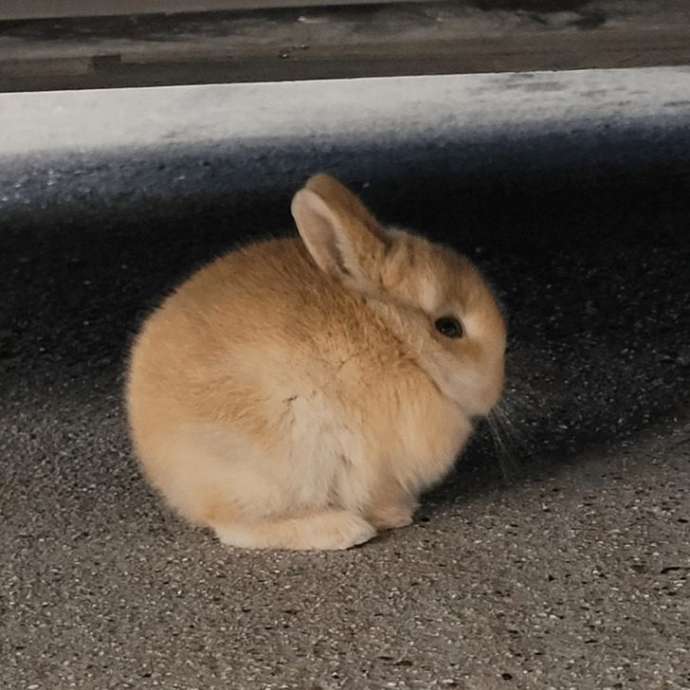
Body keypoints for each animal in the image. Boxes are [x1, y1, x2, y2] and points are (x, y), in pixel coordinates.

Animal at [125, 175, 506, 552]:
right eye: (449, 327)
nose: (495, 388)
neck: (398, 341)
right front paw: (398, 514)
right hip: (273, 466)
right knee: (238, 528)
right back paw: (345, 530)